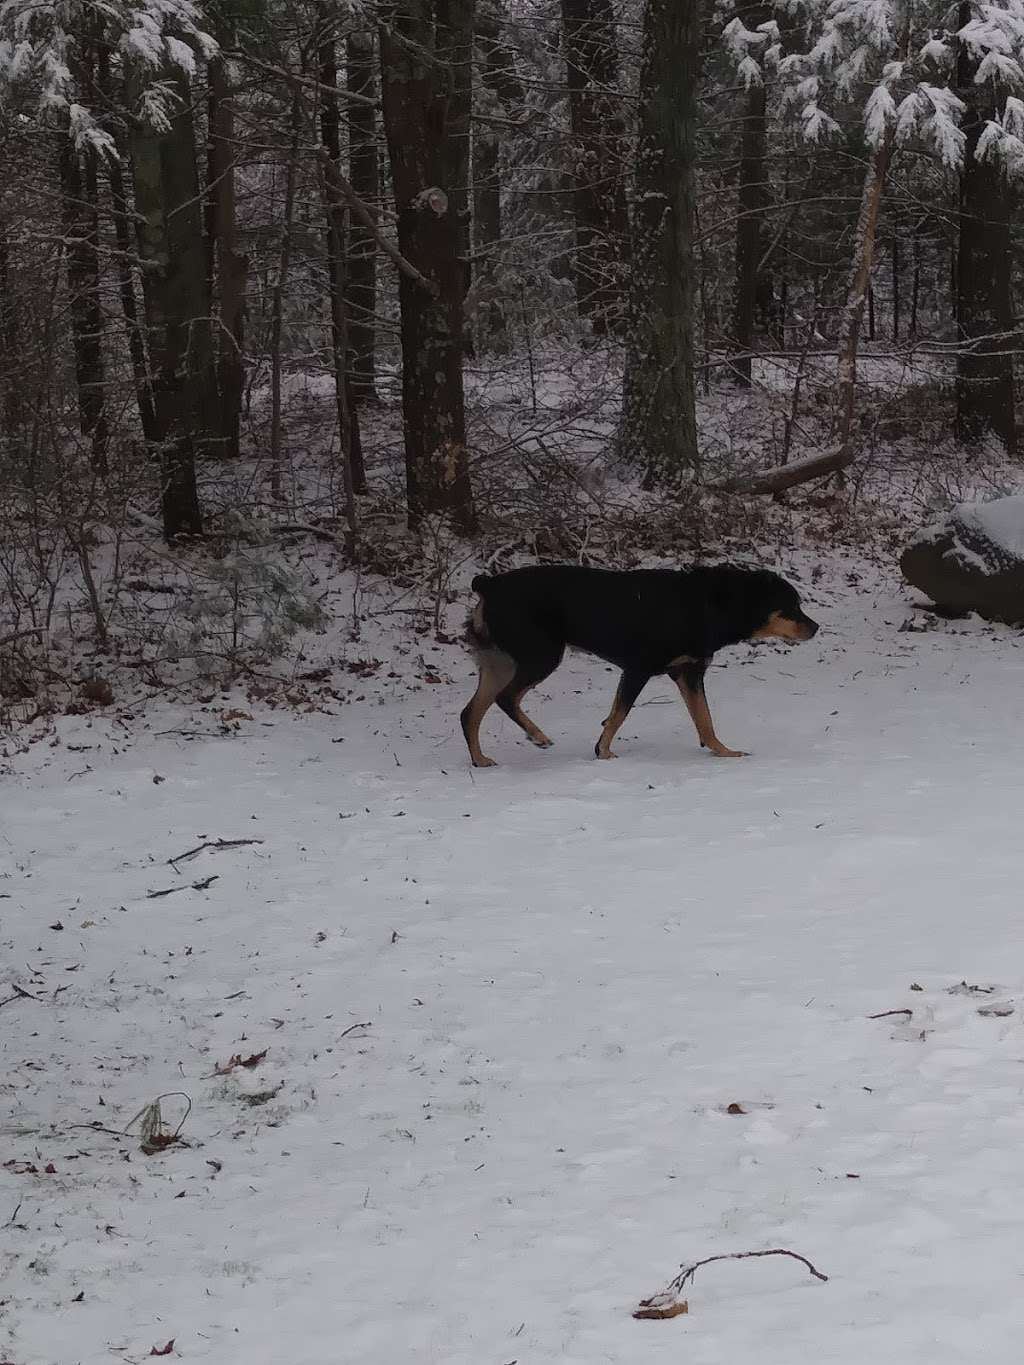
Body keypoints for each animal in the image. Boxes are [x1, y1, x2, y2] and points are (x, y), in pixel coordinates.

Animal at [461, 562, 824, 769]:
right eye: (791, 606)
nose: (816, 628)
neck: (709, 605)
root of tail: (488, 584)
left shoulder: (689, 672)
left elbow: (704, 720)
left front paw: (723, 752)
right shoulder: (638, 669)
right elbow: (619, 715)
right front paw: (603, 752)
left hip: (499, 662)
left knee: (470, 713)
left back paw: (480, 760)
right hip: (540, 655)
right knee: (506, 699)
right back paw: (537, 736)